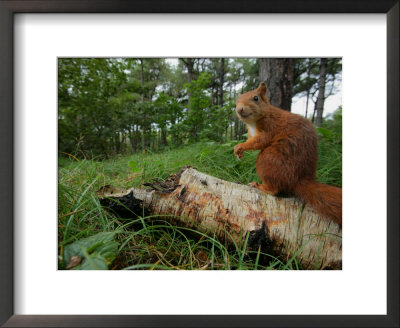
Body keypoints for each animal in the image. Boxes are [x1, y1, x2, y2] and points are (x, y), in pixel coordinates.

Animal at [234, 82, 340, 226]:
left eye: (256, 98)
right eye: (236, 101)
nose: (239, 109)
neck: (253, 121)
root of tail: (300, 179)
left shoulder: (270, 126)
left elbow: (261, 141)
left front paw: (241, 146)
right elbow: (251, 140)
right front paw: (238, 152)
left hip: (267, 160)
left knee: (275, 190)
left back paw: (259, 186)